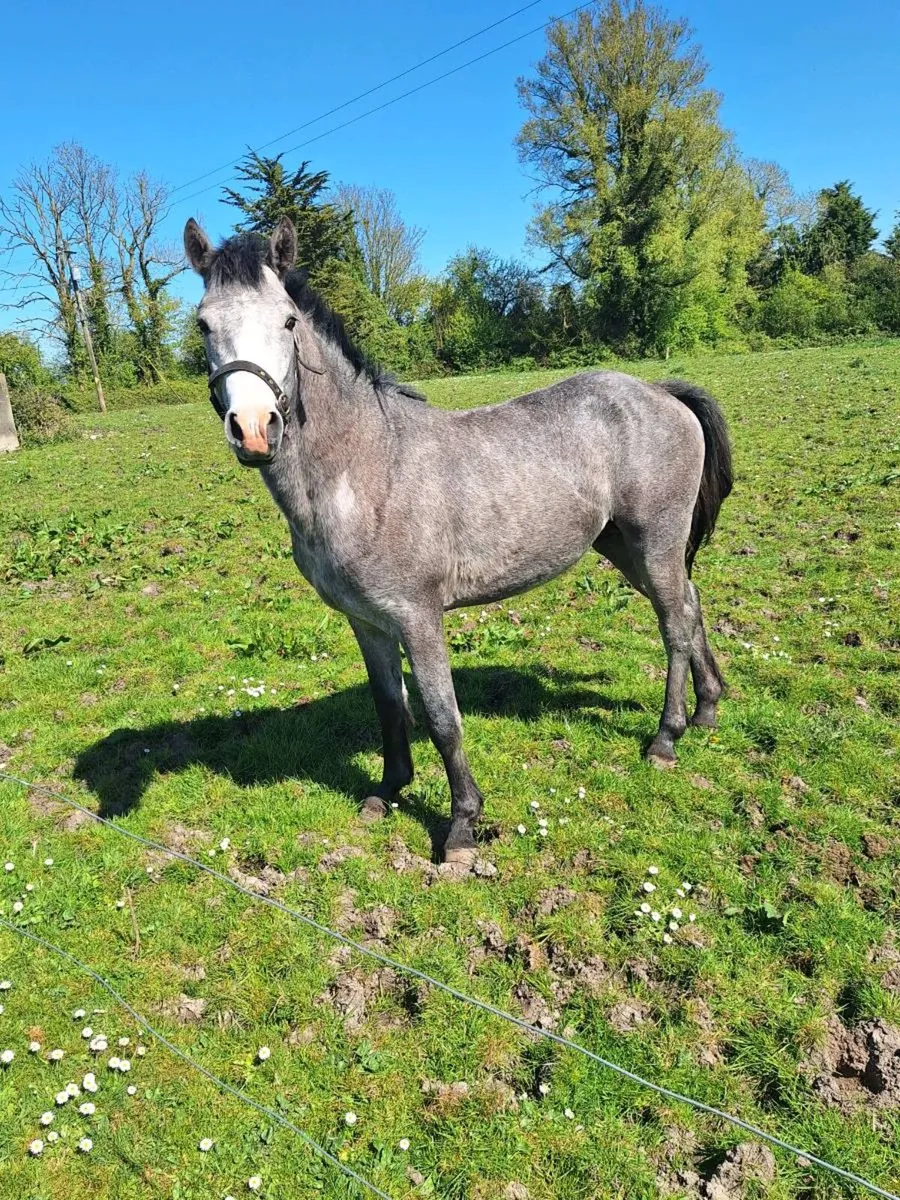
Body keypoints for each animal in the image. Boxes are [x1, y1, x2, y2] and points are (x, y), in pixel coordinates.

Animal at [184, 217, 733, 867]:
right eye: (203, 324)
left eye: (288, 321)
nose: (253, 429)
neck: (368, 466)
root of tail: (661, 393)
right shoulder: (366, 622)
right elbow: (390, 707)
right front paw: (388, 791)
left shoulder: (418, 616)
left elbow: (443, 718)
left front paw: (462, 827)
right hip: (624, 547)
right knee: (690, 606)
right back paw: (708, 708)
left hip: (655, 540)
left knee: (674, 625)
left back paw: (666, 738)